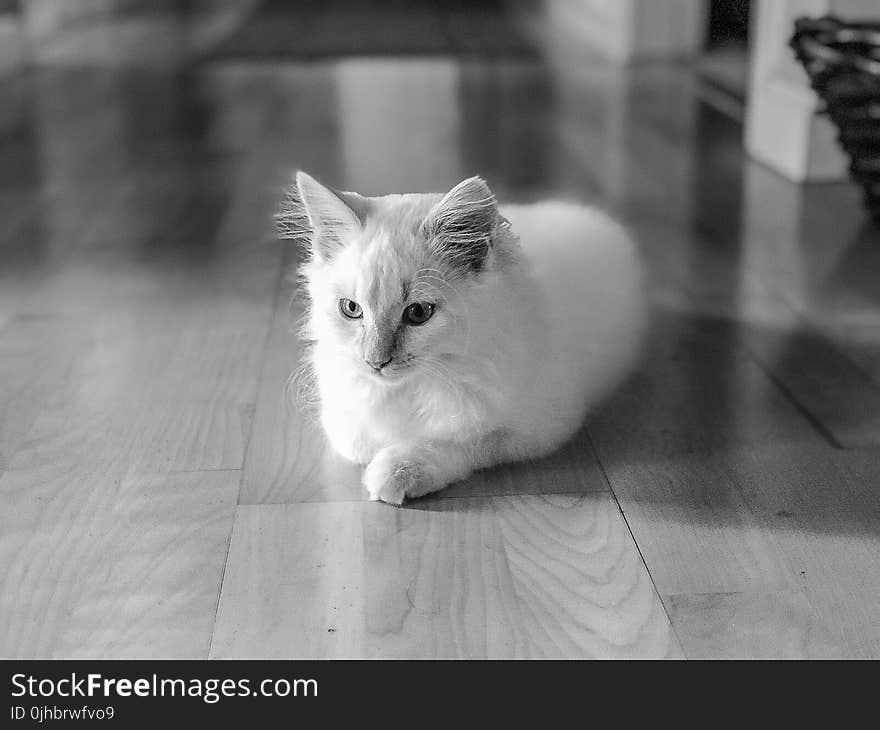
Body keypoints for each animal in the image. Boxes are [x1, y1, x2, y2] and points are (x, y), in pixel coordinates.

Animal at [282, 171, 648, 504]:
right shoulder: (342, 416)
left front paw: (397, 471)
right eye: (351, 309)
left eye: (418, 313)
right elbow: (359, 441)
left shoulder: (535, 427)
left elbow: (457, 442)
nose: (375, 362)